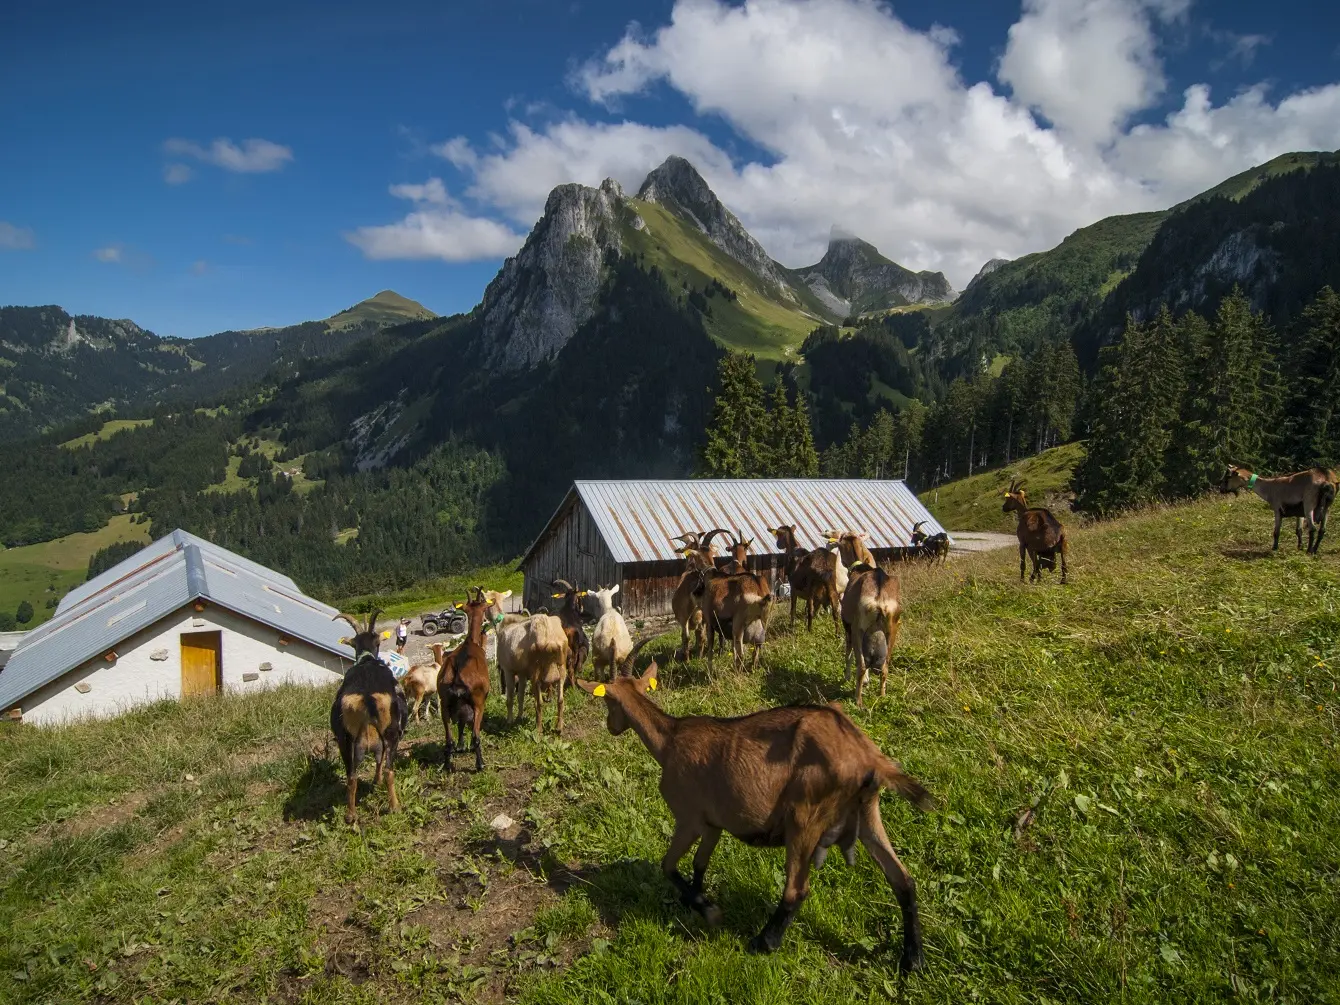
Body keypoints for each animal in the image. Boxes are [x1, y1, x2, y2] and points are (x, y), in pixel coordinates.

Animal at [576, 648, 932, 970]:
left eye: (608, 701)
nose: (611, 726)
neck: (670, 741)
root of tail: (867, 756)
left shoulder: (688, 818)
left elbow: (668, 865)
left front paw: (708, 910)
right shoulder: (713, 825)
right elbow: (699, 864)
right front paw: (696, 900)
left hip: (805, 815)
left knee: (796, 888)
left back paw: (764, 942)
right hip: (867, 812)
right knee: (903, 879)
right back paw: (912, 959)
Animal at [841, 568, 905, 707]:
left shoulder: (849, 629)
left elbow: (849, 655)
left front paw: (847, 677)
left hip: (857, 631)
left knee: (861, 665)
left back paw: (858, 700)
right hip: (892, 632)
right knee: (884, 668)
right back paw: (882, 696)